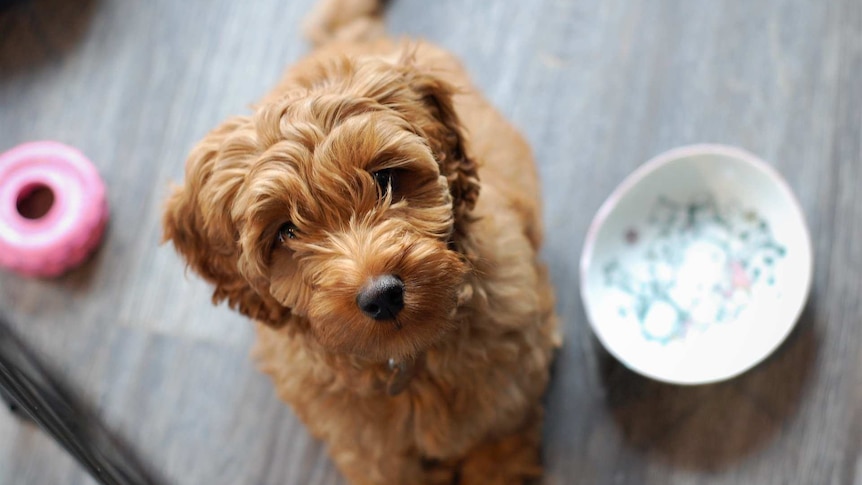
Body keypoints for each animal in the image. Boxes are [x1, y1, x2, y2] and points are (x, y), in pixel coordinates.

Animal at [165, 1, 564, 482]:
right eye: (286, 231)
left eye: (384, 178)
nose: (382, 295)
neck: (408, 362)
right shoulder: (369, 451)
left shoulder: (509, 389)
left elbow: (499, 444)